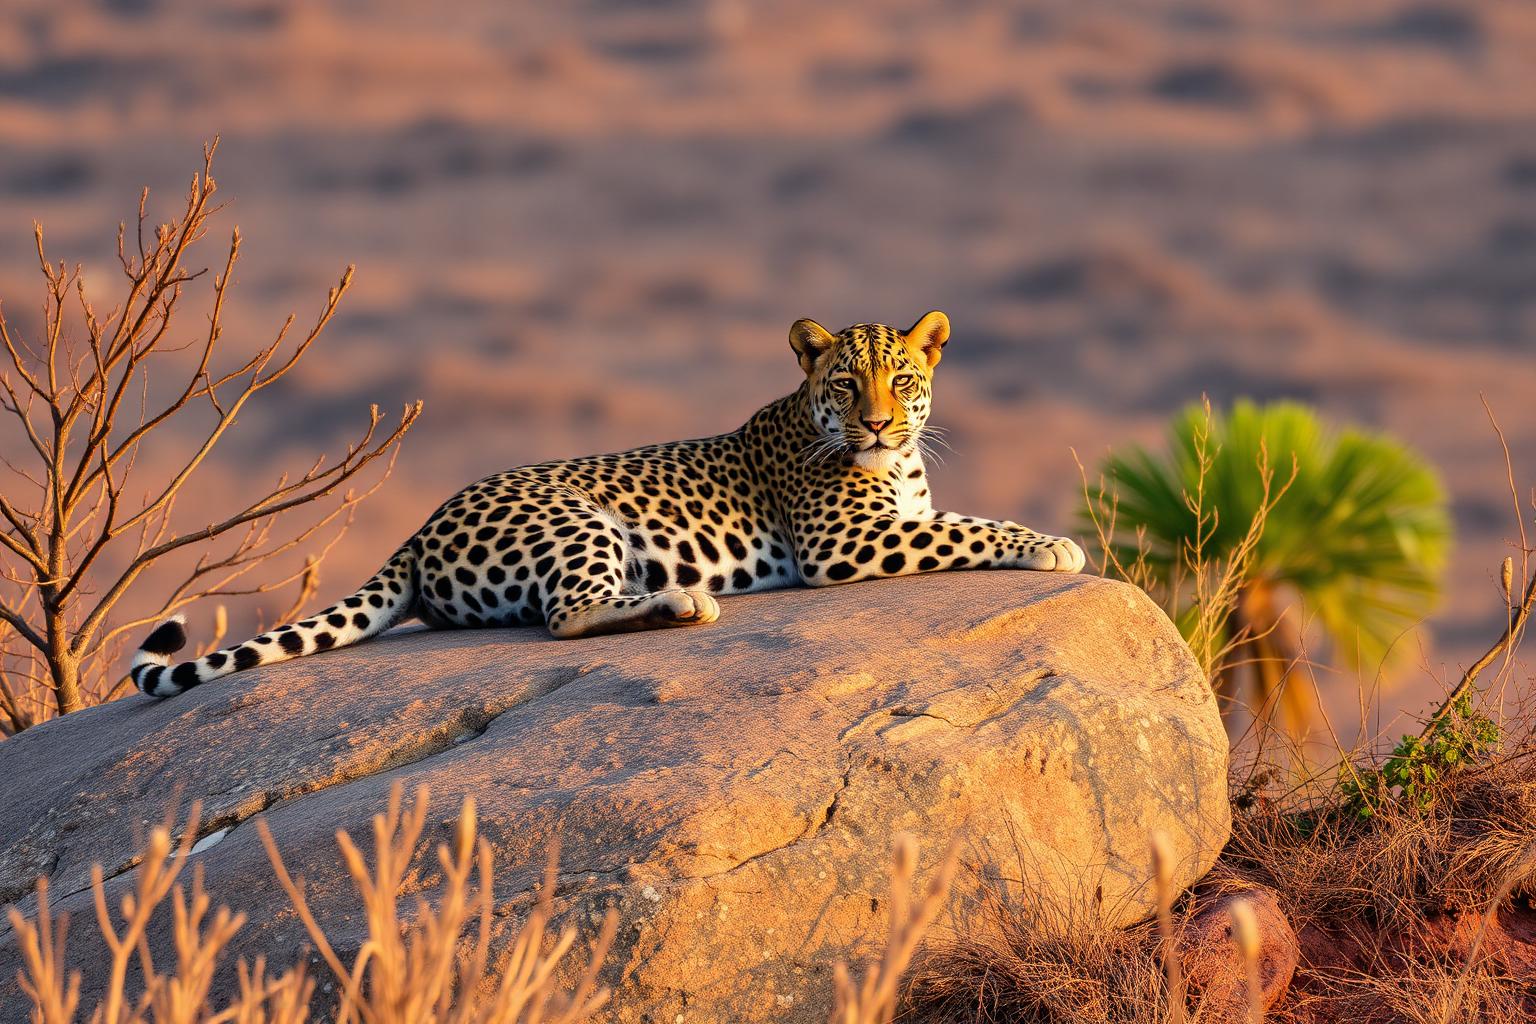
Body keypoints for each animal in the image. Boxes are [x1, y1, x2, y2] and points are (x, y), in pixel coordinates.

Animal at [130, 311, 1085, 698]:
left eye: (904, 380)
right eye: (848, 384)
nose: (880, 423)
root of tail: (418, 528)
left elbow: (951, 521)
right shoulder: (843, 542)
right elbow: (967, 529)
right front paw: (1053, 544)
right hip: (577, 519)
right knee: (566, 616)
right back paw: (683, 602)